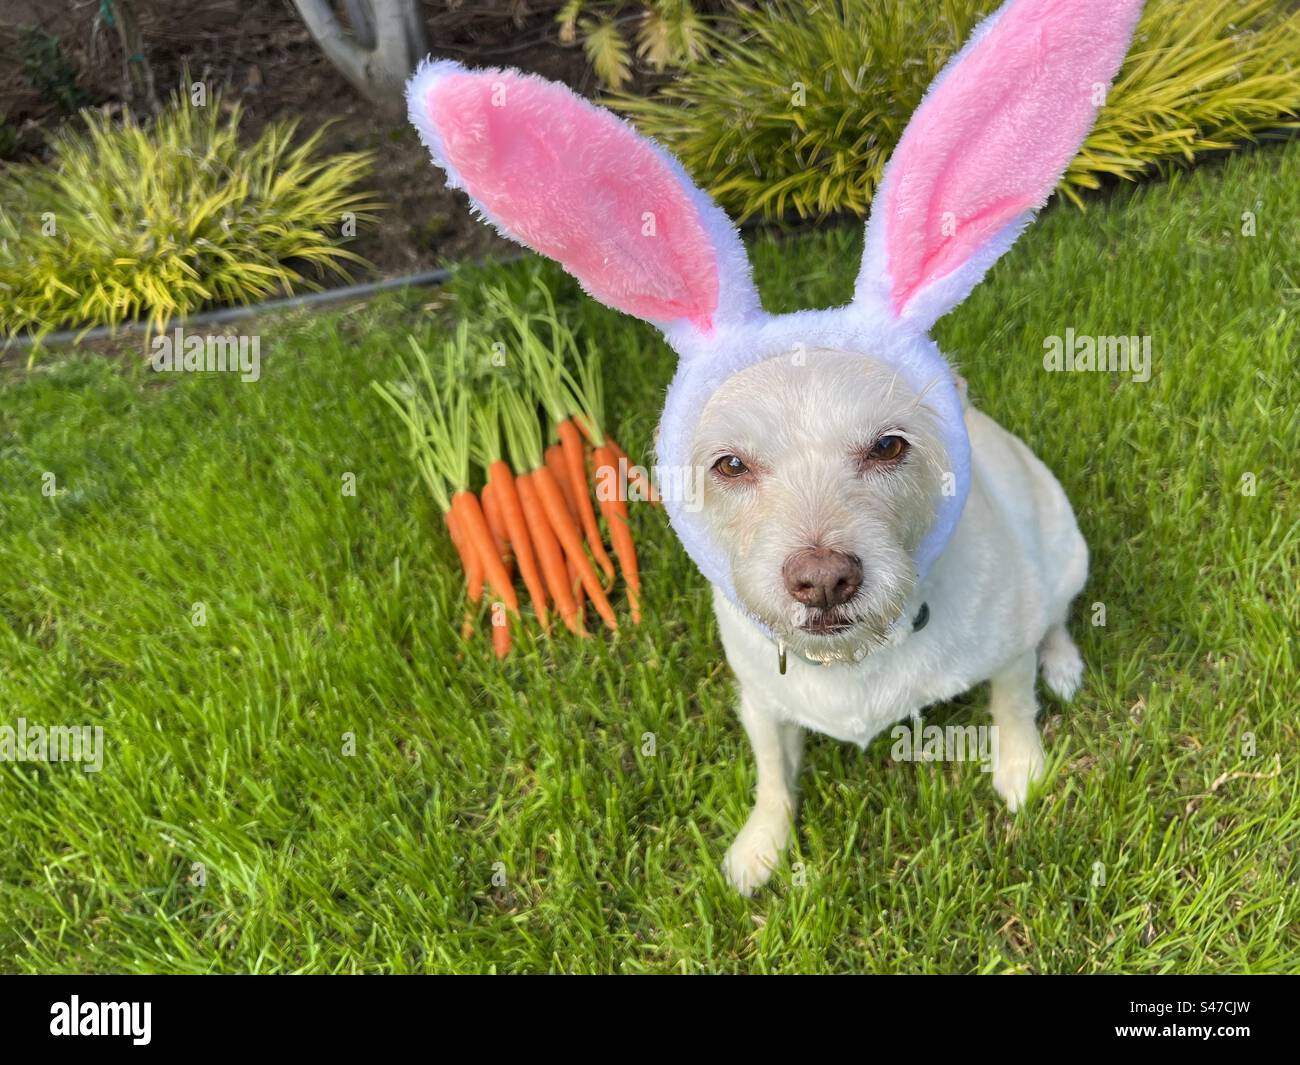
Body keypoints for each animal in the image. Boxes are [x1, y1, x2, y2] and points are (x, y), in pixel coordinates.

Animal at [406, 0, 1144, 895]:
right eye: (730, 464)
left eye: (889, 446)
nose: (823, 577)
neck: (854, 661)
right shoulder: (759, 702)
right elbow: (770, 775)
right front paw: (761, 845)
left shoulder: (1002, 651)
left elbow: (1012, 704)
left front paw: (1021, 770)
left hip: (1062, 545)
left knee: (1057, 613)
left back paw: (1062, 661)